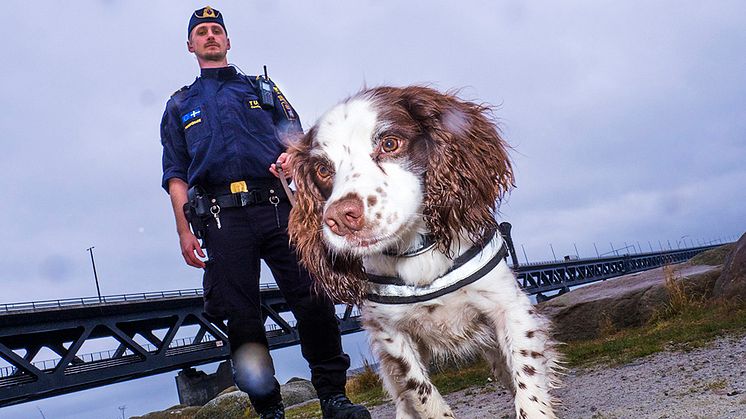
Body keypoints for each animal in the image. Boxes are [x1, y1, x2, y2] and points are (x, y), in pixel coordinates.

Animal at [288, 87, 556, 418]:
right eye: (323, 169)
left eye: (390, 143)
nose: (339, 218)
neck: (417, 253)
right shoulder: (392, 334)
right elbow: (422, 393)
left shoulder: (509, 306)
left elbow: (528, 389)